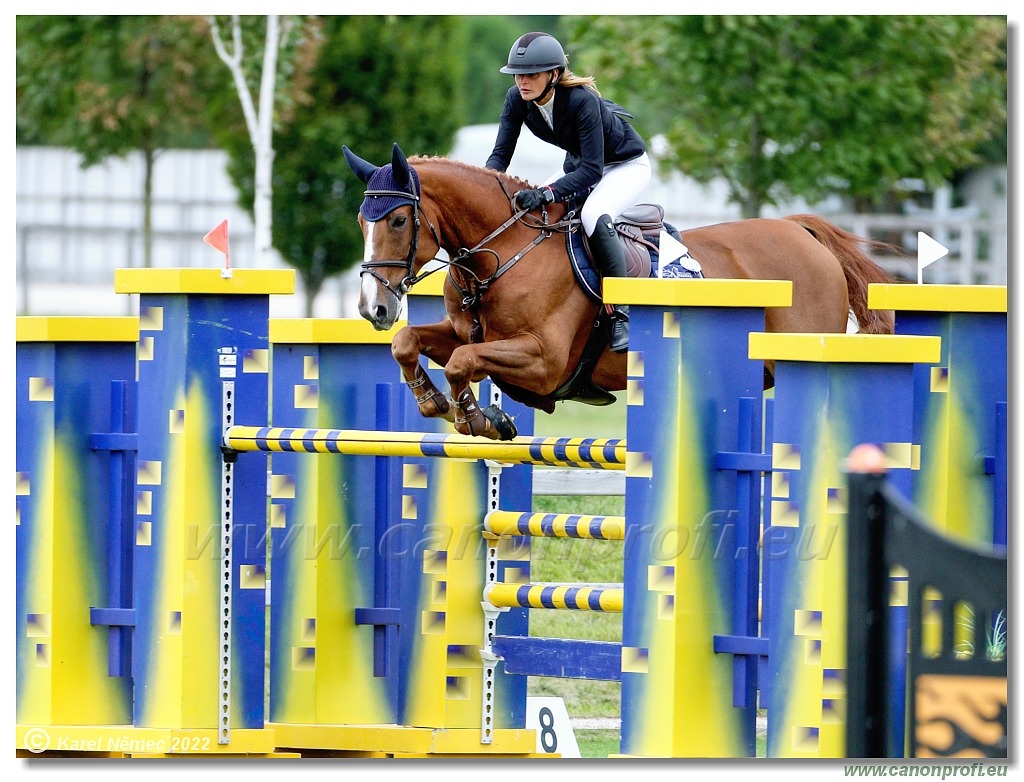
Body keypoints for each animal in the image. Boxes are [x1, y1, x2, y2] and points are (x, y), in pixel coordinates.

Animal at [339, 144, 892, 442]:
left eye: (397, 220)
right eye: (361, 222)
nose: (373, 308)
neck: (502, 252)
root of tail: (801, 231)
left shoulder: (545, 360)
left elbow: (463, 362)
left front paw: (479, 417)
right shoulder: (463, 332)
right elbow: (410, 343)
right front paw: (435, 401)